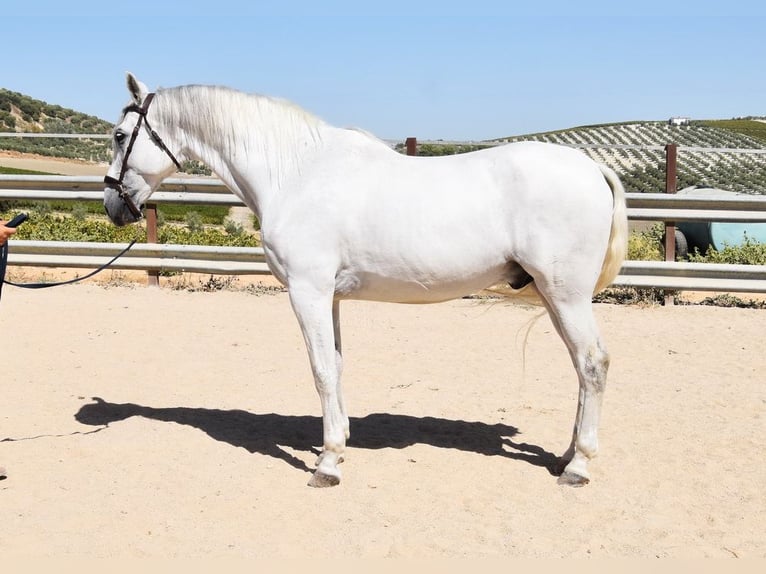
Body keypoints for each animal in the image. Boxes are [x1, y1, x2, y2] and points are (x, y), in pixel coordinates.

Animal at [104, 73, 628, 488]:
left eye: (119, 134)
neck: (295, 172)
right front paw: (336, 447)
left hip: (566, 295)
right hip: (554, 297)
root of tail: (591, 167)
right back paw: (566, 455)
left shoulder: (308, 291)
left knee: (593, 364)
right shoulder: (330, 297)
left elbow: (320, 370)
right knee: (581, 367)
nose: (113, 206)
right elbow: (335, 366)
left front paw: (327, 465)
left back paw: (579, 466)